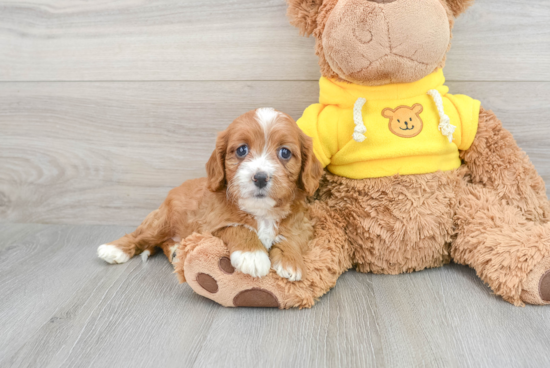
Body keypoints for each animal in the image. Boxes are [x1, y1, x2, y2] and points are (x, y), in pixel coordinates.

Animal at [97, 108, 326, 280]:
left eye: (285, 153)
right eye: (242, 150)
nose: (260, 177)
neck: (261, 212)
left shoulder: (303, 226)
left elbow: (292, 237)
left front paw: (291, 262)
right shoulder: (211, 225)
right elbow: (238, 227)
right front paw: (252, 256)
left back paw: (176, 250)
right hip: (161, 221)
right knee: (140, 235)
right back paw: (114, 249)